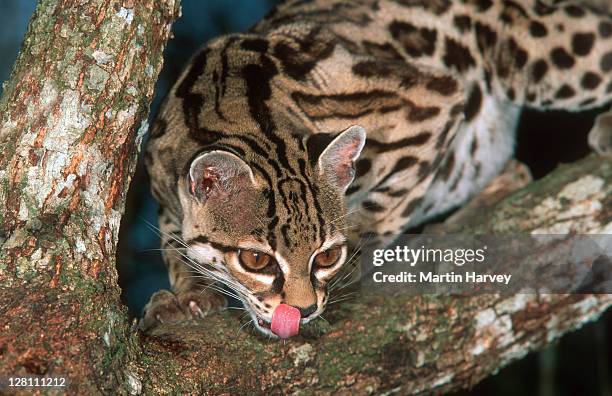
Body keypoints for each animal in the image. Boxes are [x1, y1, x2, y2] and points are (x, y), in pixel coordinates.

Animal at [141, 0, 612, 336]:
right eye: (255, 259)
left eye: (326, 255)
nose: (303, 309)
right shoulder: (161, 176)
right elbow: (173, 241)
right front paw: (187, 292)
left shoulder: (432, 99)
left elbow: (385, 207)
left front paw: (355, 256)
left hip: (536, 55)